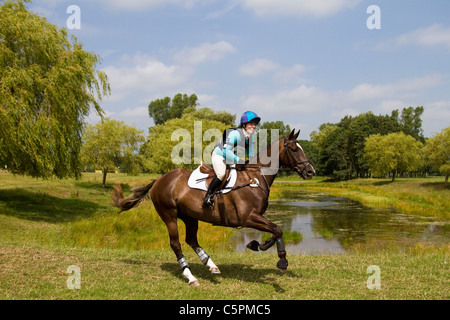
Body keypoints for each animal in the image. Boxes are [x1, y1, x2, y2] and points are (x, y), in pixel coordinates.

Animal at [111, 129, 316, 286]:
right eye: (294, 149)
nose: (311, 172)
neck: (255, 178)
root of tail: (159, 180)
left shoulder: (256, 217)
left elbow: (274, 230)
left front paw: (258, 245)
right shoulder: (248, 217)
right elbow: (278, 229)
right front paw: (281, 260)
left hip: (190, 216)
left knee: (191, 239)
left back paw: (211, 265)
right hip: (169, 215)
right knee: (176, 244)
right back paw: (190, 276)